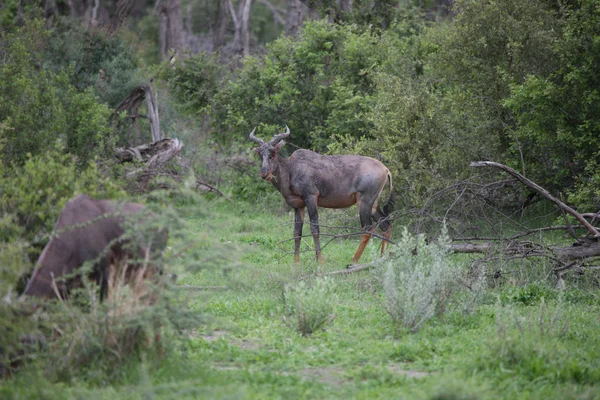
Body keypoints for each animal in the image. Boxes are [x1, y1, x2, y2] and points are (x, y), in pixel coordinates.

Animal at [248, 125, 394, 262]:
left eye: (273, 152)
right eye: (260, 153)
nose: (264, 174)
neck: (292, 168)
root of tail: (386, 169)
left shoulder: (311, 198)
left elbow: (315, 229)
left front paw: (320, 261)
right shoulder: (298, 206)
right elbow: (297, 232)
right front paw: (296, 263)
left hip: (364, 201)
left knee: (368, 229)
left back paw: (353, 261)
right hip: (373, 204)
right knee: (386, 225)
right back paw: (382, 257)